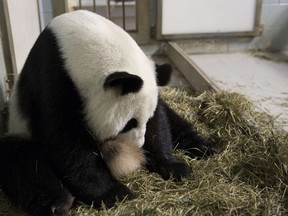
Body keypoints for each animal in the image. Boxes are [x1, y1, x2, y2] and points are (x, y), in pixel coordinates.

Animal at [0, 10, 215, 216]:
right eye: (130, 123)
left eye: (144, 120)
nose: (139, 145)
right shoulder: (53, 78)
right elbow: (65, 139)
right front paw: (114, 193)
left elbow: (160, 122)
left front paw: (171, 166)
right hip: (19, 128)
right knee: (23, 162)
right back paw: (59, 202)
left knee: (175, 121)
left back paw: (204, 147)